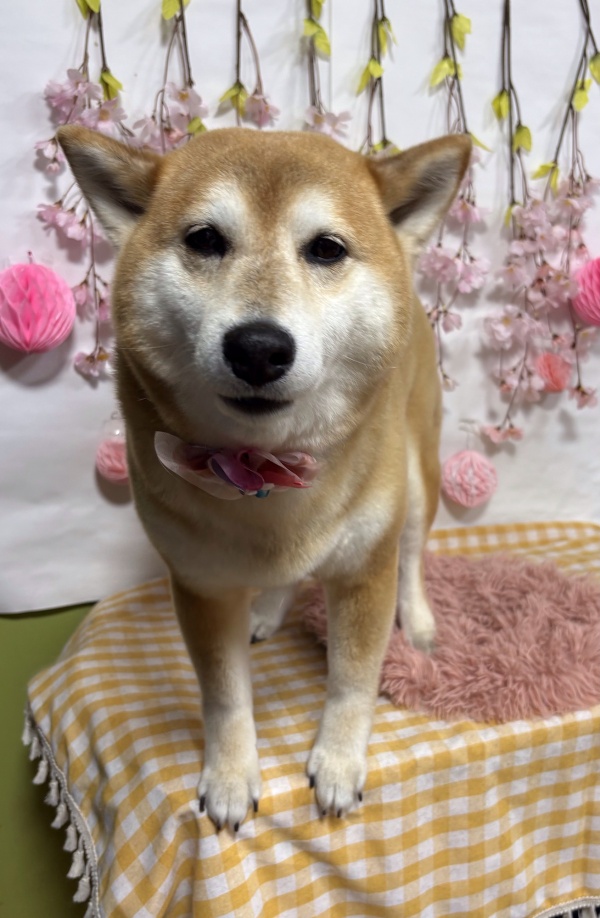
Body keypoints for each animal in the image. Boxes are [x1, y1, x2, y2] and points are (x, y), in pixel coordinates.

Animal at [58, 124, 470, 831]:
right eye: (205, 240)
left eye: (327, 249)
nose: (257, 348)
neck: (267, 471)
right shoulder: (199, 585)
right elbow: (224, 696)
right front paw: (229, 776)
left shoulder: (365, 570)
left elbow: (353, 681)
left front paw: (338, 764)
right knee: (287, 576)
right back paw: (270, 608)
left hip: (419, 479)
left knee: (414, 552)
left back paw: (416, 620)